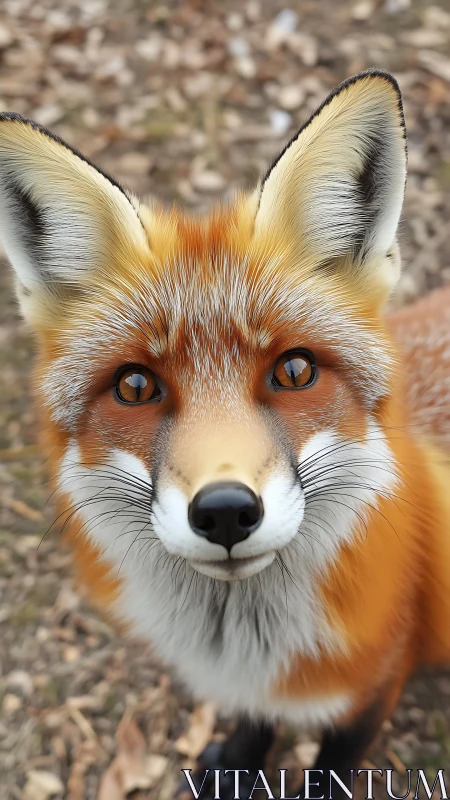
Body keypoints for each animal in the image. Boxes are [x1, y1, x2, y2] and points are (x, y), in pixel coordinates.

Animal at [1, 68, 450, 799]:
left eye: (294, 371)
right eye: (135, 386)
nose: (226, 512)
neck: (244, 647)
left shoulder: (372, 692)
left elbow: (330, 769)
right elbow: (252, 722)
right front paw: (239, 758)